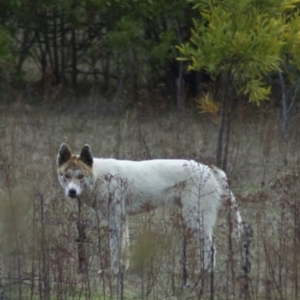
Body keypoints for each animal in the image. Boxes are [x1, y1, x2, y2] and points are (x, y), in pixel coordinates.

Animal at [56, 144, 244, 278]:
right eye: (67, 176)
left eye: (80, 176)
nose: (71, 192)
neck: (99, 176)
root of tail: (210, 168)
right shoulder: (121, 219)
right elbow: (123, 247)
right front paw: (122, 268)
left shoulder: (116, 220)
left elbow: (114, 249)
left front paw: (114, 272)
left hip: (195, 220)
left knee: (210, 249)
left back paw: (203, 273)